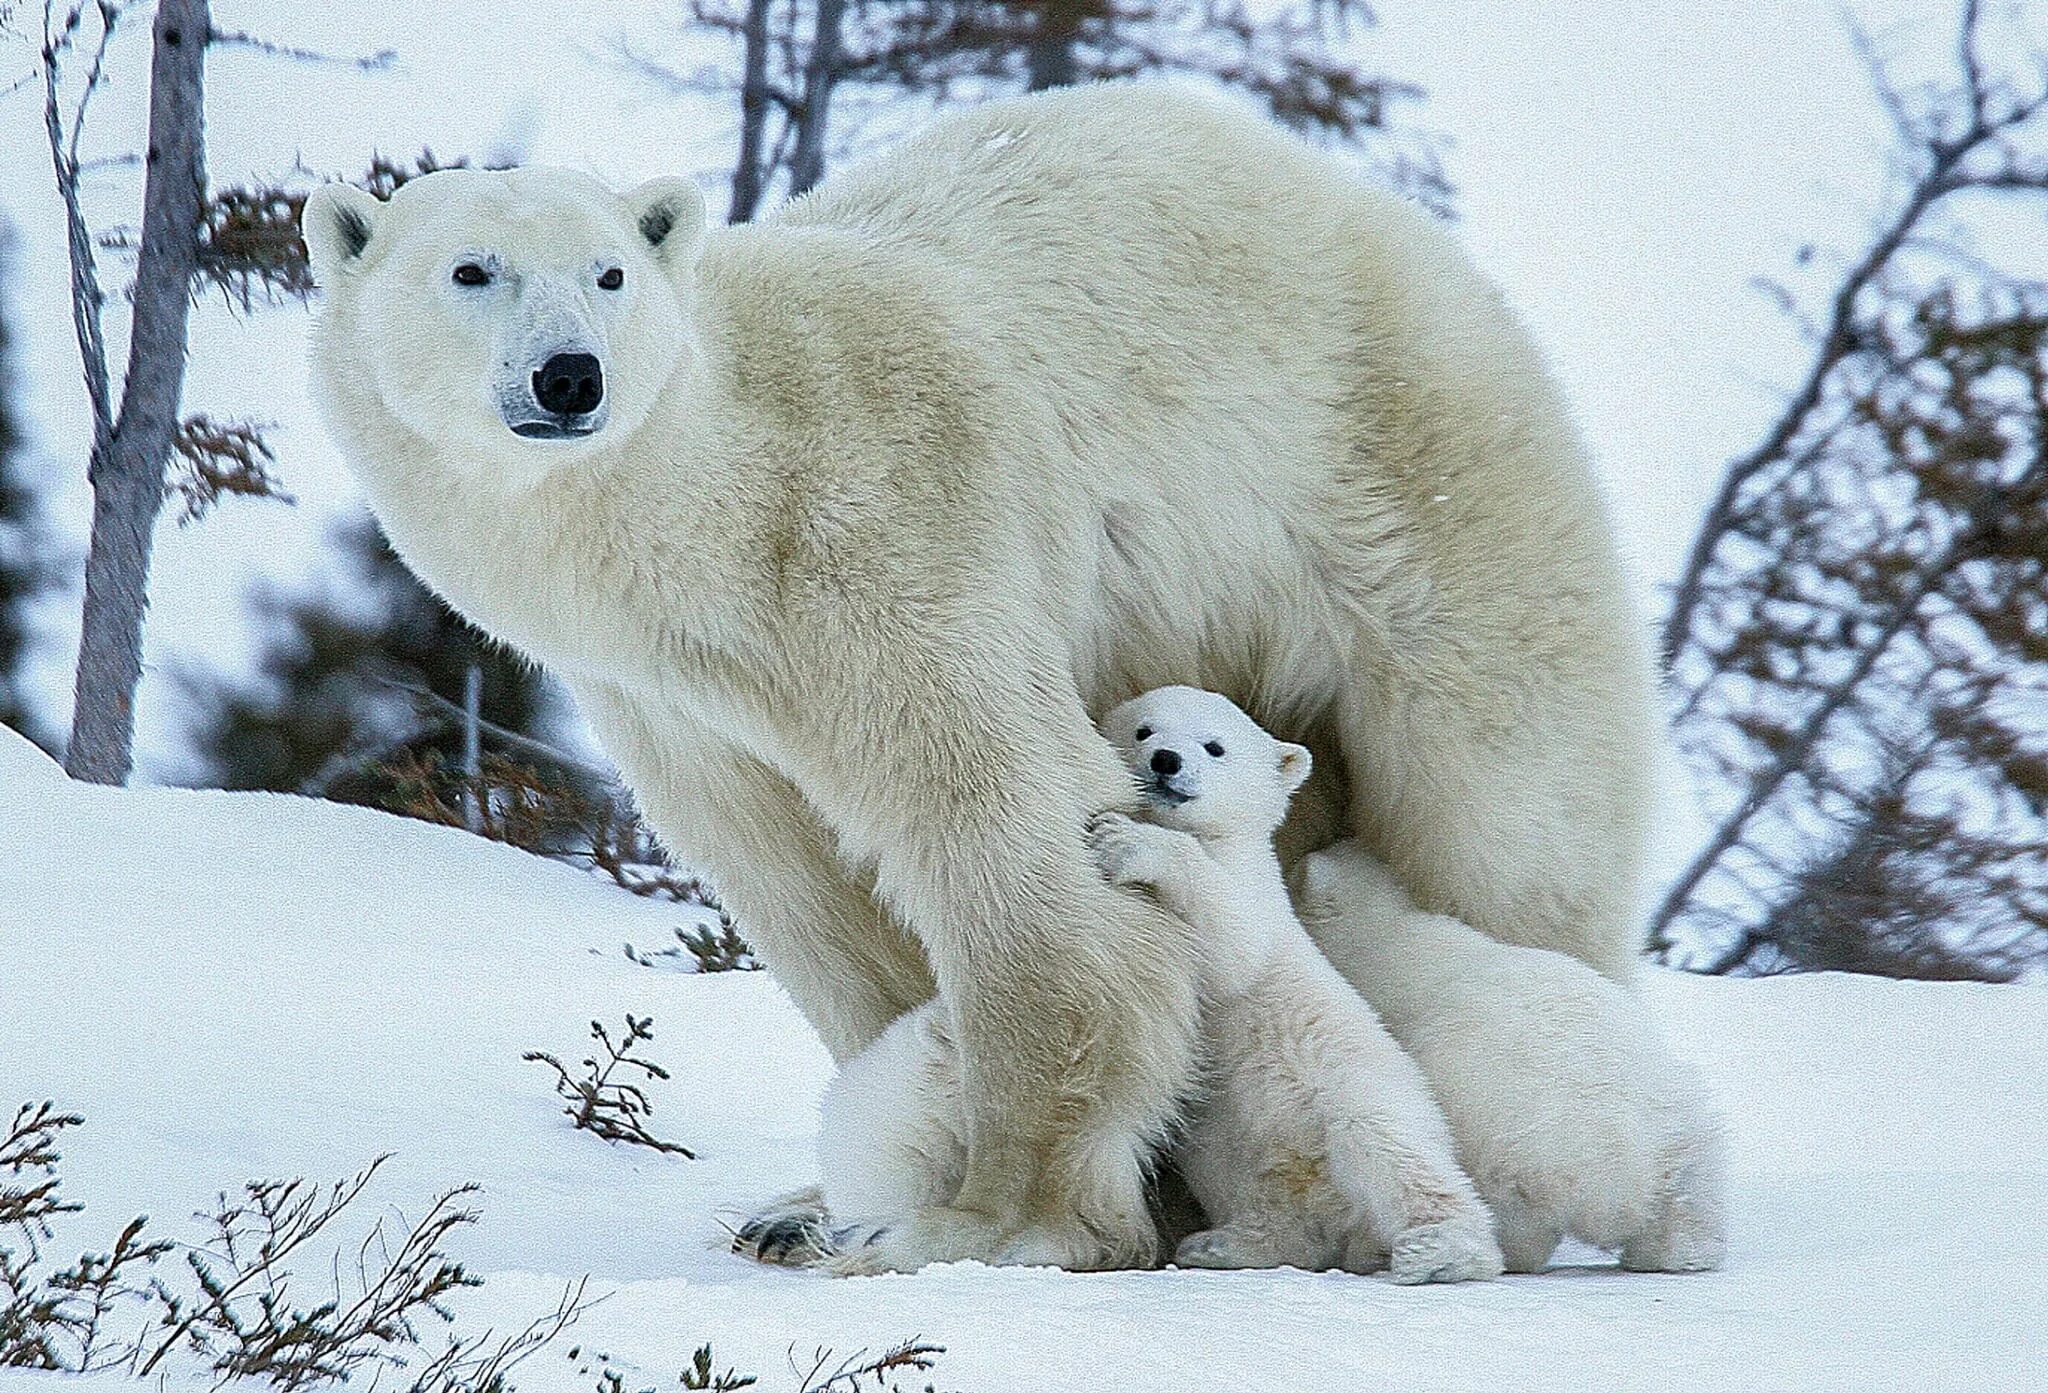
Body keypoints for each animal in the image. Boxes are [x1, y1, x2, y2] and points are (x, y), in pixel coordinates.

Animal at [811, 684, 1507, 1286]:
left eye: (1215, 746)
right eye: (1145, 728)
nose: (1166, 760)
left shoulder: (1255, 897)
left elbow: (1227, 945)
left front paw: (1126, 842)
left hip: (1351, 1088)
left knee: (1396, 1153)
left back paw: (1441, 1250)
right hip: (1235, 1151)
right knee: (1270, 1200)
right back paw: (1225, 1243)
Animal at [1294, 839, 1728, 1270]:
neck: (1389, 938)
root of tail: (1628, 1176)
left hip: (1513, 1140)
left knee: (1514, 1212)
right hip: (1681, 1118)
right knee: (1690, 1191)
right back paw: (1677, 1252)